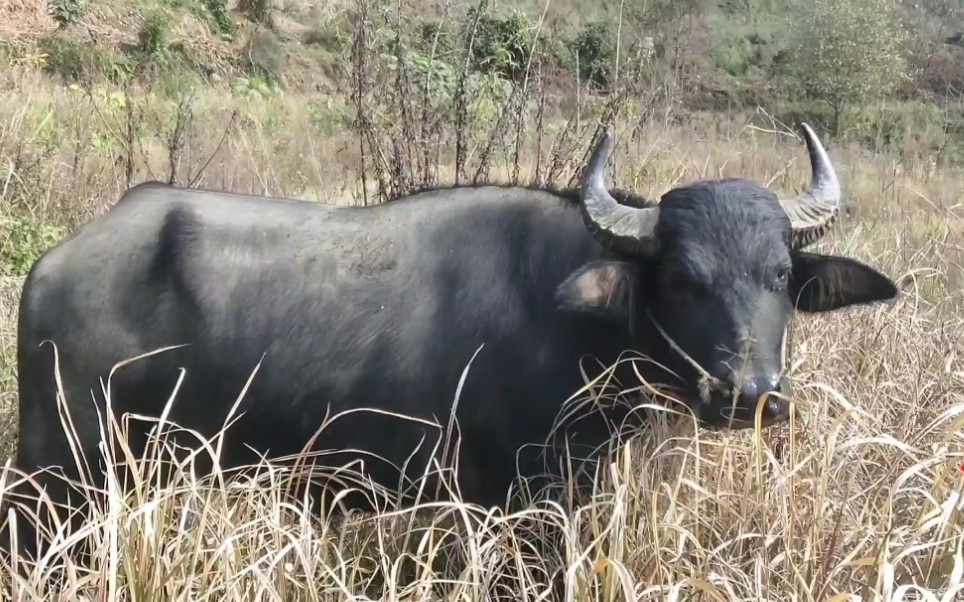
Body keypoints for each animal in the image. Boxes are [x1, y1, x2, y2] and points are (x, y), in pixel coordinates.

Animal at [3, 123, 900, 556]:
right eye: (682, 277)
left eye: (778, 274)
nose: (749, 396)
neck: (573, 324)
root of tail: (51, 265)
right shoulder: (511, 506)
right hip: (61, 476)